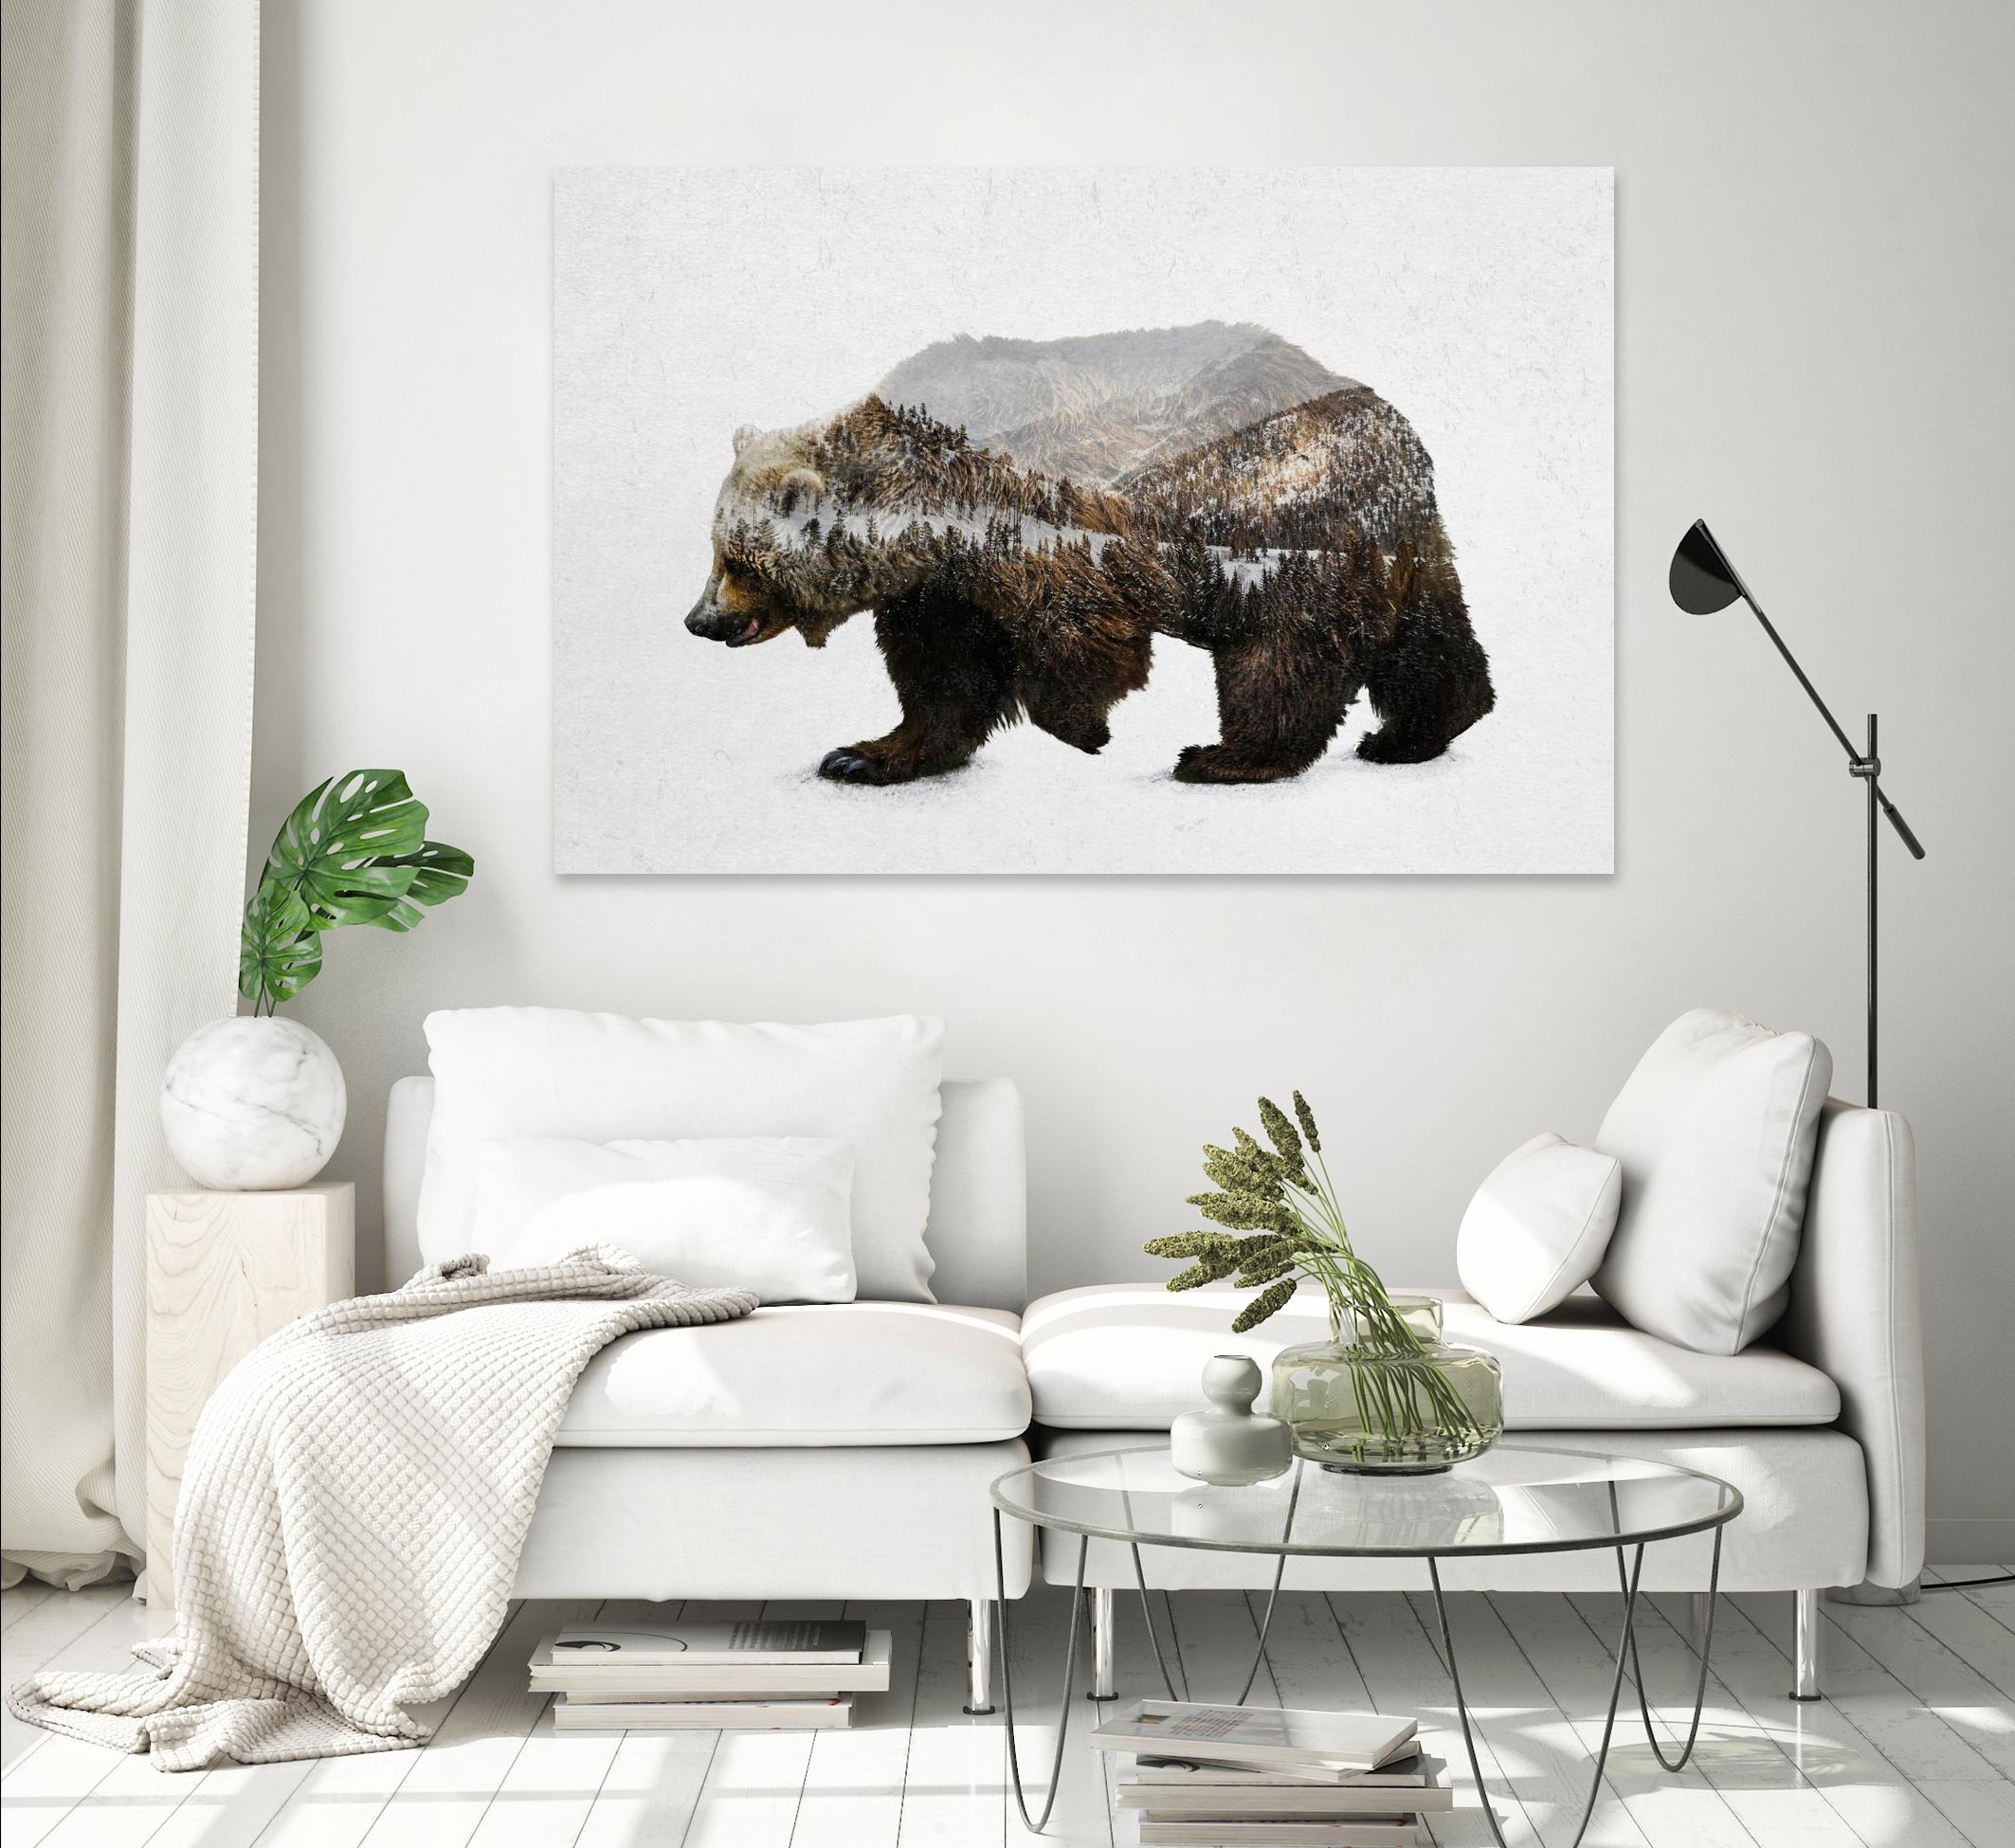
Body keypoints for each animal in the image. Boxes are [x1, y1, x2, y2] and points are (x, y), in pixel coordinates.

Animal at [683, 324, 1493, 786]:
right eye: (715, 550)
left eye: (739, 560)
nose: (698, 620)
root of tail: (1397, 434)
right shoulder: (941, 582)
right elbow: (940, 673)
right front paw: (864, 755)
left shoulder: (1039, 525)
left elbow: (1078, 637)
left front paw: (1085, 729)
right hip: (1395, 547)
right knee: (1430, 641)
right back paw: (1413, 735)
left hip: (1274, 516)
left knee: (1282, 651)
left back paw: (1225, 758)